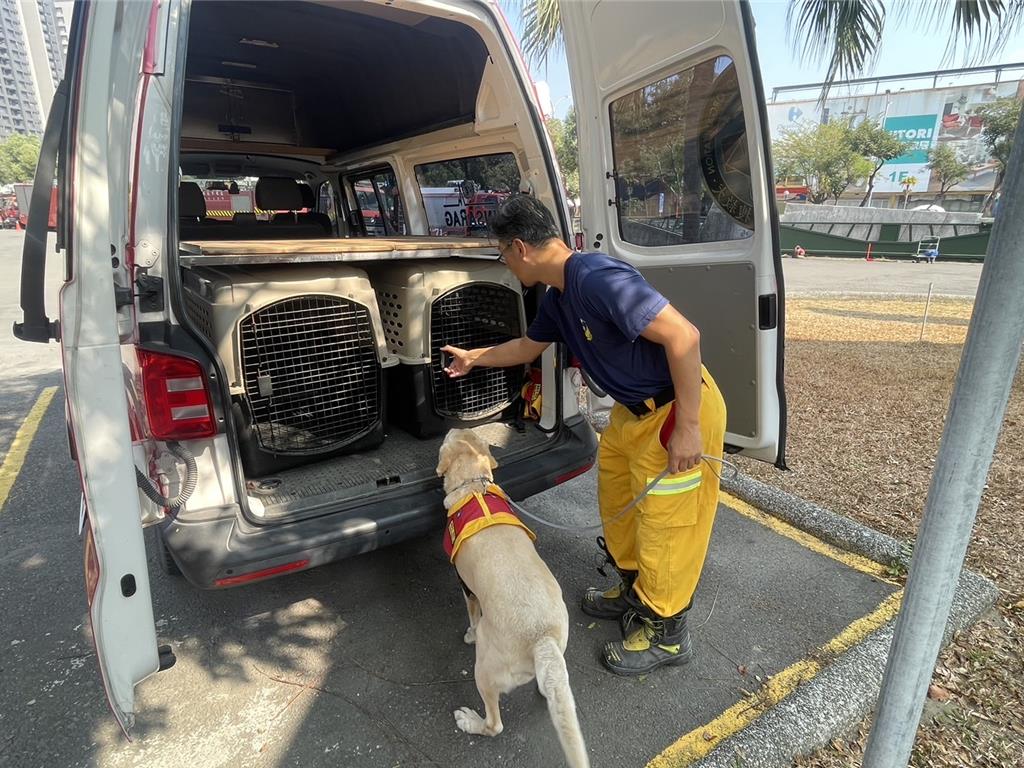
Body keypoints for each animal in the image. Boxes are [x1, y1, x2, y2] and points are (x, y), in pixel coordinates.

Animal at [436, 430, 589, 765]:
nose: (450, 428)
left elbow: (471, 615)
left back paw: (470, 721)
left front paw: (467, 634)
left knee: (495, 724)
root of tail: (541, 638)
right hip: (556, 656)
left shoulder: (466, 587)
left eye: (447, 439)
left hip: (484, 668)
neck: (474, 485)